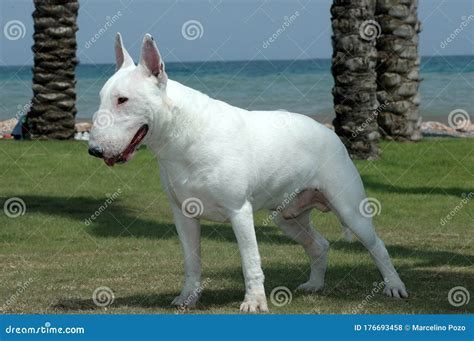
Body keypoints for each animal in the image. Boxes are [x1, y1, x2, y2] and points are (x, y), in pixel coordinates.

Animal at [89, 33, 408, 312]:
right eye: (102, 97)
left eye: (122, 100)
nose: (94, 150)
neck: (183, 134)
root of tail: (329, 133)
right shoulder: (183, 214)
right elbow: (192, 261)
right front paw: (187, 298)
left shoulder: (239, 211)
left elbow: (250, 260)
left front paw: (254, 302)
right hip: (287, 216)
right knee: (319, 245)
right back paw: (314, 284)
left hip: (349, 208)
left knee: (377, 246)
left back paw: (394, 286)